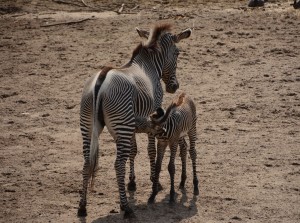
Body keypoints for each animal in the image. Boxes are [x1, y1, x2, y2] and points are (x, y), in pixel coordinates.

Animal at [77, 24, 190, 218]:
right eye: (177, 53)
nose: (174, 87)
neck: (149, 65)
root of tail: (102, 78)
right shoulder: (153, 113)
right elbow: (151, 150)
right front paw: (154, 181)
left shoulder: (132, 123)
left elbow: (133, 150)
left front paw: (131, 182)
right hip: (120, 124)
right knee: (118, 164)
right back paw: (126, 208)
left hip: (89, 125)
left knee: (86, 164)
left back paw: (83, 207)